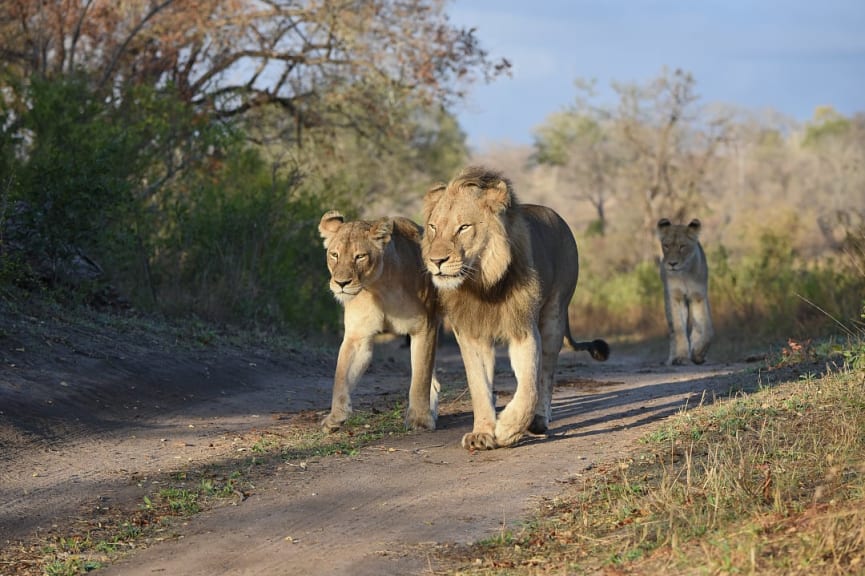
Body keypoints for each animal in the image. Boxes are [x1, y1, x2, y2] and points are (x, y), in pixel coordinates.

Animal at [318, 210, 438, 432]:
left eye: (360, 256)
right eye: (334, 255)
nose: (341, 283)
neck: (378, 287)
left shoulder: (424, 327)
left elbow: (420, 378)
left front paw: (419, 419)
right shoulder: (358, 336)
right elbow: (341, 377)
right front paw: (336, 416)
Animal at [418, 165, 608, 450]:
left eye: (463, 227)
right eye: (432, 227)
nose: (436, 260)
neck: (482, 284)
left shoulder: (524, 330)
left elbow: (529, 385)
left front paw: (508, 428)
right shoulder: (472, 334)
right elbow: (479, 386)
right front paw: (482, 433)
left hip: (554, 316)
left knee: (546, 374)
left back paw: (538, 421)